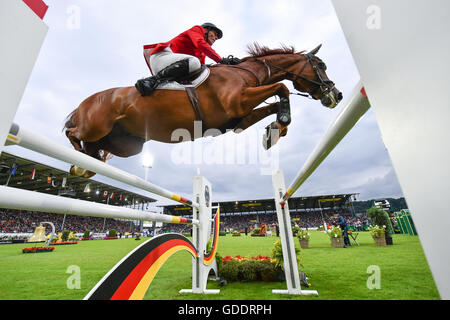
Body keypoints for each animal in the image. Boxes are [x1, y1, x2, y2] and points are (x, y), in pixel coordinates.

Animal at [65, 43, 342, 178]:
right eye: (320, 65)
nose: (336, 95)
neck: (247, 72)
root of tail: (82, 104)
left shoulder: (239, 118)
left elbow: (274, 103)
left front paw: (274, 130)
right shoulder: (237, 101)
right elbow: (282, 87)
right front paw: (280, 122)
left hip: (126, 145)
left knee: (93, 153)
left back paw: (84, 165)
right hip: (94, 126)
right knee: (72, 132)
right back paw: (77, 159)